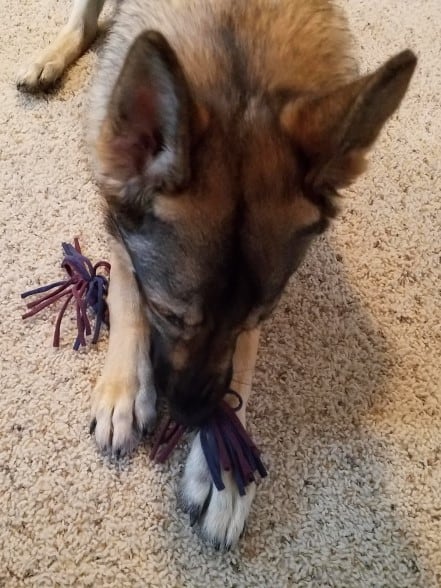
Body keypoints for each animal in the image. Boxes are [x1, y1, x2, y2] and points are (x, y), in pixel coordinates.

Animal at [18, 0, 416, 548]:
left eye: (255, 319)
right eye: (168, 314)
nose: (191, 417)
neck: (238, 64)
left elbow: (241, 360)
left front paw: (223, 470)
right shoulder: (117, 206)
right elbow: (124, 289)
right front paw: (125, 388)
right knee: (83, 17)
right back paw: (48, 60)